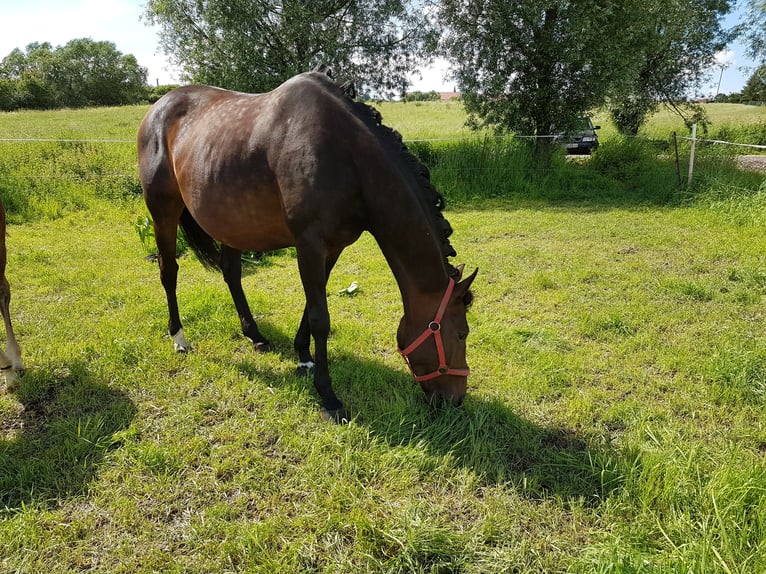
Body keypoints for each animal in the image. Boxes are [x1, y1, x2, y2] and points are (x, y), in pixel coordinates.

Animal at [137, 68, 477, 421]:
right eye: (461, 333)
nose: (454, 399)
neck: (346, 157)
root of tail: (158, 107)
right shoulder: (309, 244)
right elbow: (320, 319)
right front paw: (328, 395)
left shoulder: (333, 246)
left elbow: (312, 306)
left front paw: (304, 356)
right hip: (163, 213)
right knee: (169, 271)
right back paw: (179, 338)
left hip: (229, 223)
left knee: (231, 273)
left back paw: (255, 336)